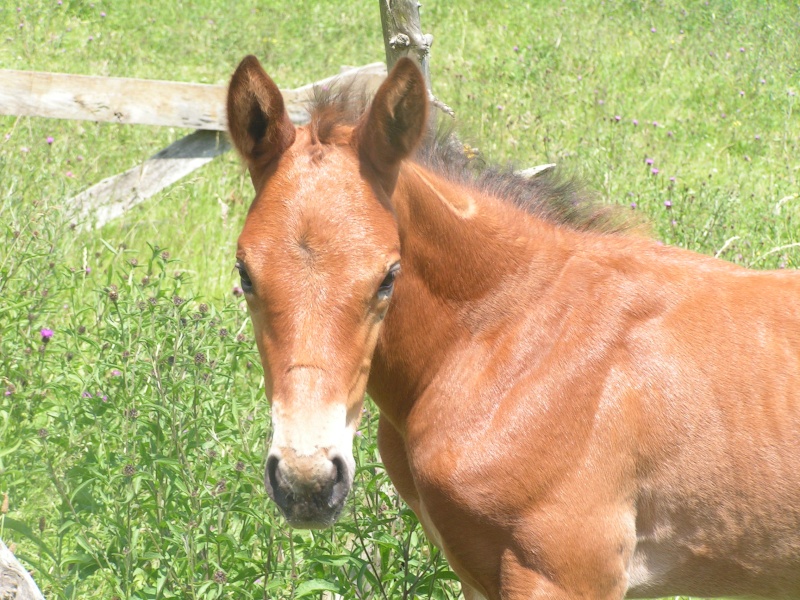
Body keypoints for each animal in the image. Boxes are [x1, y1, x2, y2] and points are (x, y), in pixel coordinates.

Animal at [223, 54, 800, 596]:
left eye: (389, 275)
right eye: (244, 273)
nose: (307, 483)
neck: (510, 339)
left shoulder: (566, 573)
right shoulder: (477, 572)